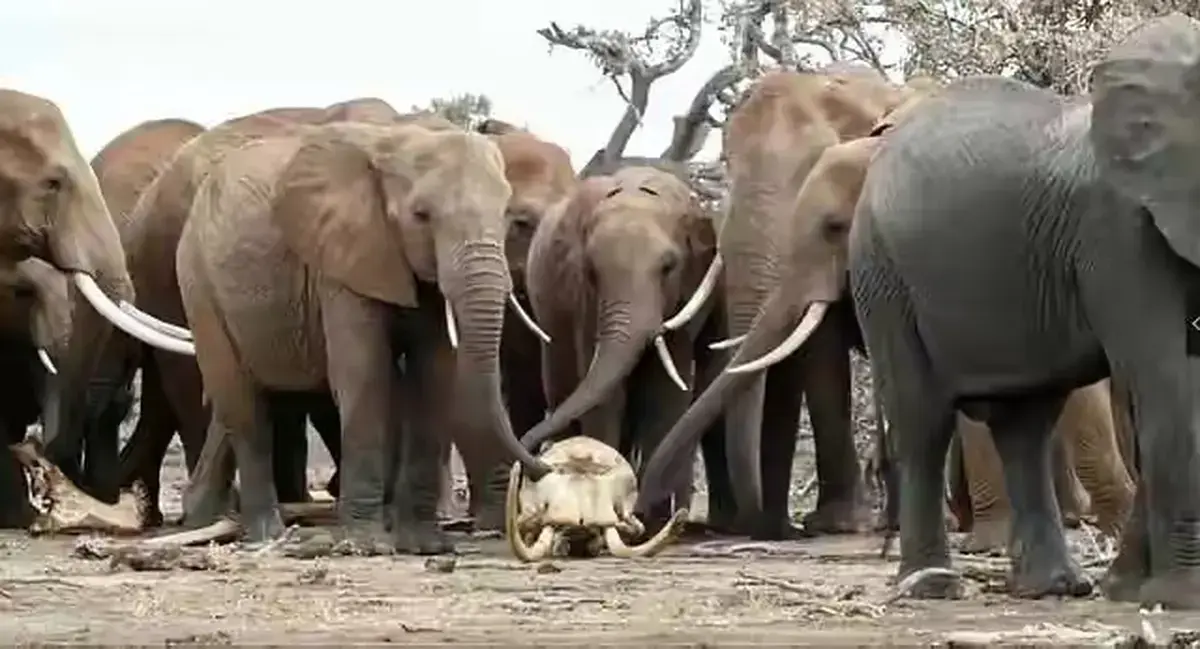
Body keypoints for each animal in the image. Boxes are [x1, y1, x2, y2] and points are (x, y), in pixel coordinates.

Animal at [175, 120, 551, 552]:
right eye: (421, 215)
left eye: (507, 215)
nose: (544, 467)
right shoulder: (342, 260)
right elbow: (365, 372)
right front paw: (367, 545)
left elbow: (435, 374)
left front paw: (425, 545)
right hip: (198, 283)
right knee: (241, 403)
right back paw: (267, 534)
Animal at [516, 166, 718, 529]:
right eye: (592, 272)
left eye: (669, 267)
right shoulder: (582, 296)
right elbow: (604, 392)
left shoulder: (688, 290)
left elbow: (666, 391)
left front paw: (653, 520)